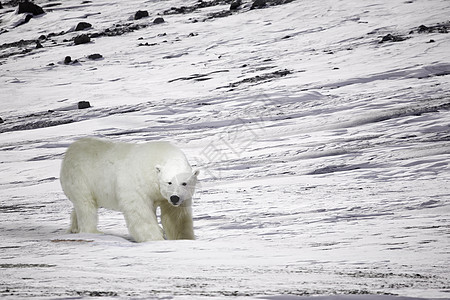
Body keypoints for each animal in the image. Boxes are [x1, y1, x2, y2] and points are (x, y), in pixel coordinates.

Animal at [59, 138, 199, 241]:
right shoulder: (138, 183)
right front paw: (155, 238)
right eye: (169, 182)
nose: (174, 198)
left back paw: (74, 228)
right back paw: (93, 231)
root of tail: (71, 149)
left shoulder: (174, 198)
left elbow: (176, 217)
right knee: (86, 205)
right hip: (80, 177)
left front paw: (184, 238)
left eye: (184, 183)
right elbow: (140, 211)